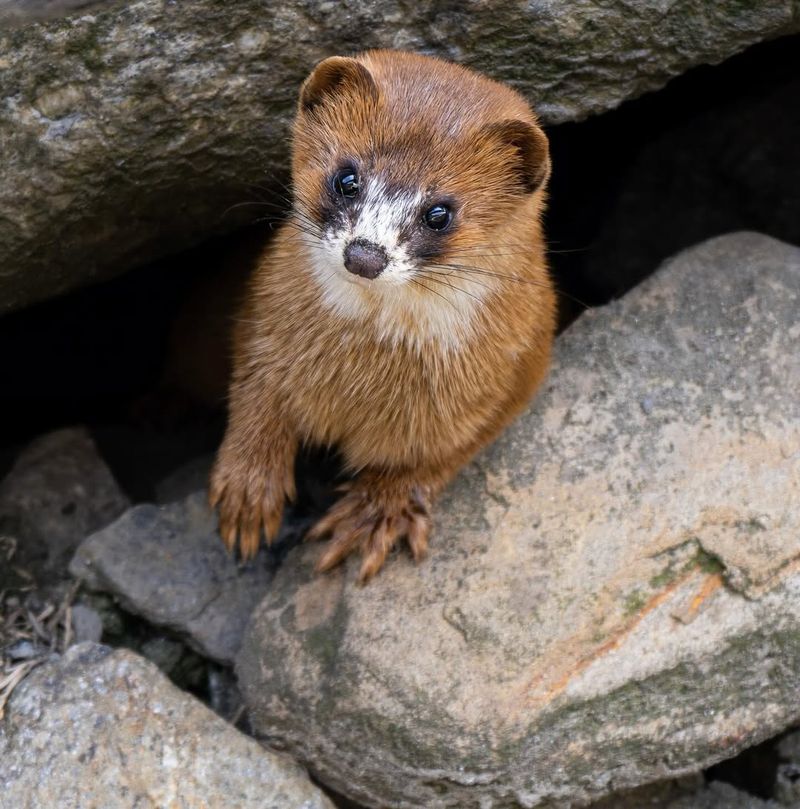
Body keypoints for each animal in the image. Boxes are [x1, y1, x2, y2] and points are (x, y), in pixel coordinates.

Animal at [211, 50, 556, 580]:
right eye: (347, 177)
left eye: (440, 212)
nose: (365, 254)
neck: (361, 378)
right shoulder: (261, 316)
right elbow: (255, 394)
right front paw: (249, 489)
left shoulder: (515, 370)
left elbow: (438, 455)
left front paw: (376, 511)